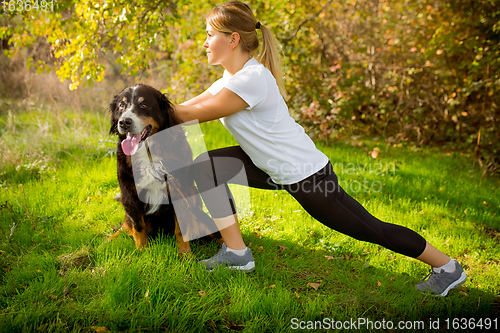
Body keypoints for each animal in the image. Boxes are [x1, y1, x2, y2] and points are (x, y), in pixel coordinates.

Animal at [108, 83, 216, 254]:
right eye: (122, 106)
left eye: (144, 105)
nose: (124, 122)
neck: (149, 152)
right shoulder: (129, 194)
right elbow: (138, 227)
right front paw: (142, 253)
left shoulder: (179, 189)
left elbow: (182, 228)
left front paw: (185, 254)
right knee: (126, 226)